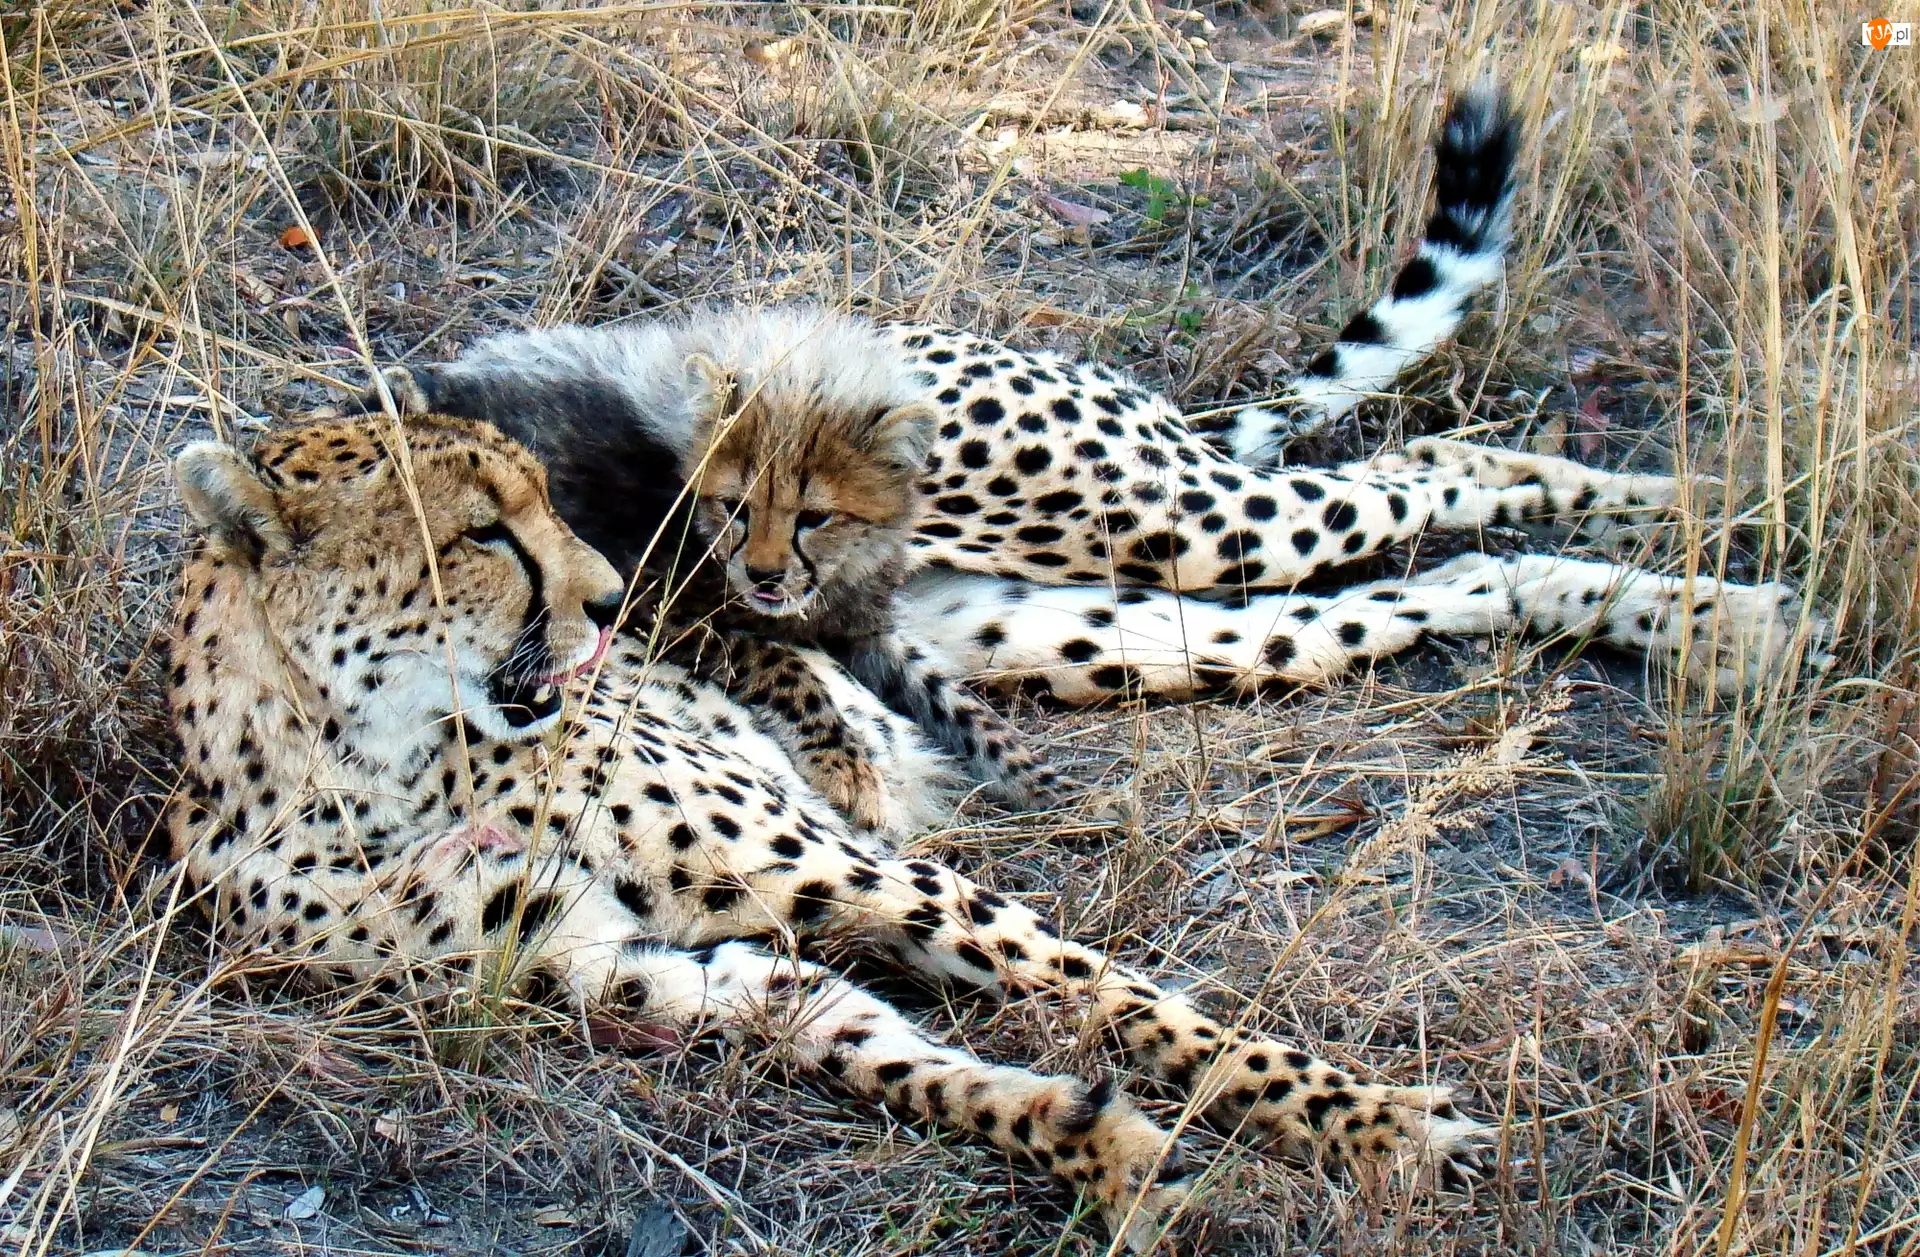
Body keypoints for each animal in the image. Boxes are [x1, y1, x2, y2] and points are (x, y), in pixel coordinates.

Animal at [165, 413, 1487, 1252]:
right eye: (480, 533)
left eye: (539, 504)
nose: (614, 601)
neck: (368, 759)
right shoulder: (608, 969)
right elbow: (867, 1040)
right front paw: (1096, 1143)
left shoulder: (855, 869)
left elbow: (1127, 1002)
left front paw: (1371, 1124)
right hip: (1078, 635)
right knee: (1336, 612)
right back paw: (1524, 580)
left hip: (1162, 540)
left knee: (1365, 518)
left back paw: (1532, 520)